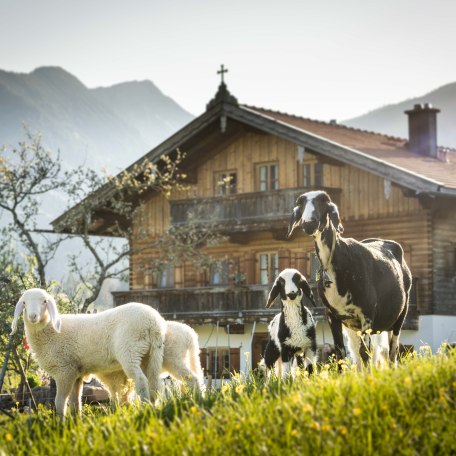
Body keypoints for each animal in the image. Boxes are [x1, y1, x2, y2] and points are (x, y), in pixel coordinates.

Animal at [11, 290, 166, 418]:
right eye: (24, 303)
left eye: (44, 301)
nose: (32, 316)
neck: (51, 331)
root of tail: (153, 322)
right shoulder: (76, 373)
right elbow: (75, 402)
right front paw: (76, 423)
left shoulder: (64, 371)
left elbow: (60, 401)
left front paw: (60, 423)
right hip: (152, 354)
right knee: (154, 383)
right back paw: (153, 406)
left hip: (130, 351)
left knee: (141, 380)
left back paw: (145, 406)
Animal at [288, 189, 414, 364]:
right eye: (300, 204)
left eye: (323, 201)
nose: (309, 223)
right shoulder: (332, 316)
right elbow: (340, 352)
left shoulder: (367, 315)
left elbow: (365, 352)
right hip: (356, 326)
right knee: (362, 352)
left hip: (400, 315)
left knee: (391, 352)